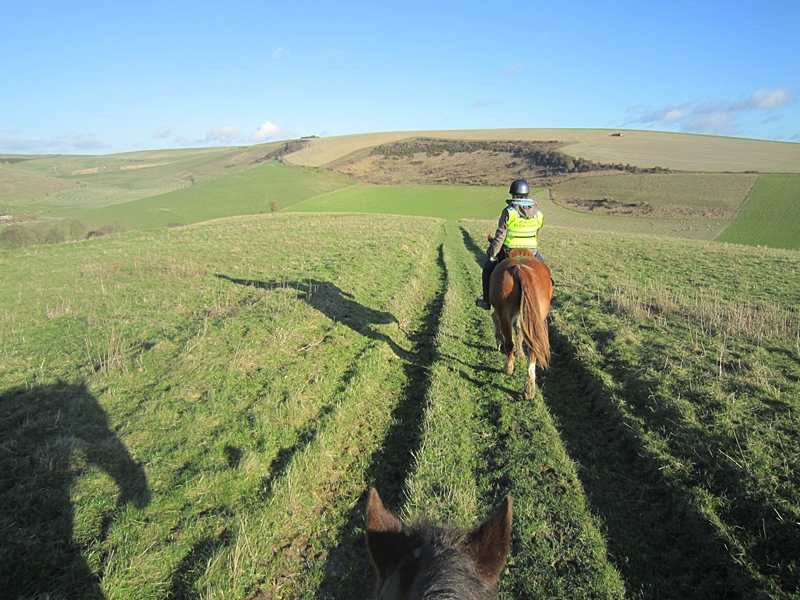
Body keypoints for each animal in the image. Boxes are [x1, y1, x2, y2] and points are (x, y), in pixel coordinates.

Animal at [488, 244, 553, 400]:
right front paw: (520, 353)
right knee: (533, 348)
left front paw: (499, 341)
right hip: (536, 316)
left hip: (505, 313)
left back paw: (508, 368)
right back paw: (529, 388)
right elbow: (519, 329)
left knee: (509, 341)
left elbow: (496, 319)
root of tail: (520, 268)